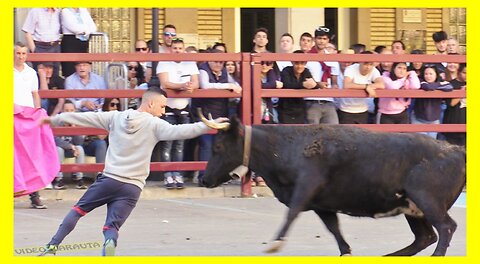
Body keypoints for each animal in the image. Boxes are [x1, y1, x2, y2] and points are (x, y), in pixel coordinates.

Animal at [201, 117, 466, 256]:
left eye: (218, 147)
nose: (203, 179)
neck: (285, 146)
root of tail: (457, 150)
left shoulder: (306, 189)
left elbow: (291, 214)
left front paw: (275, 243)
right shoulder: (322, 205)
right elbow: (334, 230)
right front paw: (346, 251)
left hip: (428, 202)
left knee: (446, 228)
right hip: (413, 209)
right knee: (425, 237)